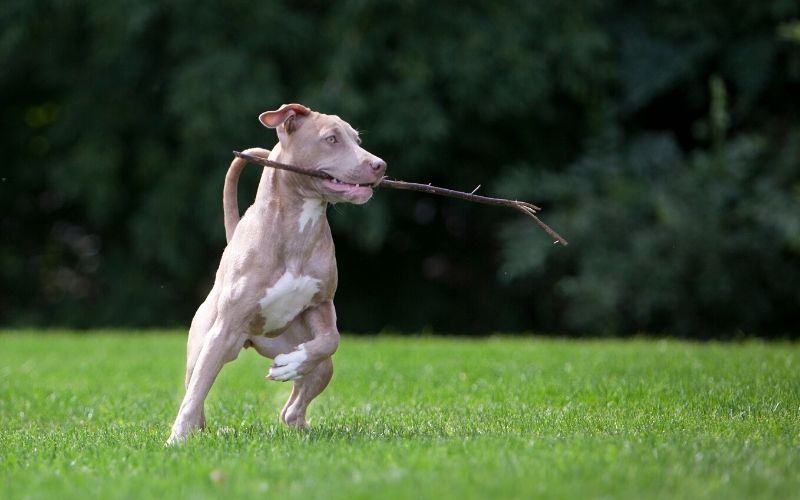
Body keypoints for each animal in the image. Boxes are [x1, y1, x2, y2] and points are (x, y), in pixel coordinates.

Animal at [167, 102, 386, 446]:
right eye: (332, 139)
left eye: (357, 139)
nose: (380, 165)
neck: (297, 226)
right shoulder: (223, 330)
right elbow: (196, 393)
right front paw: (176, 440)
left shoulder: (321, 304)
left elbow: (331, 339)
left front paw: (292, 364)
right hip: (208, 344)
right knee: (196, 388)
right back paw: (197, 431)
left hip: (307, 355)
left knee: (296, 403)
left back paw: (300, 417)